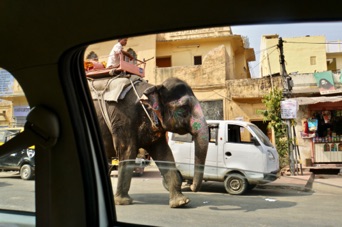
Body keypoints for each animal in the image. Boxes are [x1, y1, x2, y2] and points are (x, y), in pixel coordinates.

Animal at [89, 76, 208, 207]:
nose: (191, 187)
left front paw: (181, 202)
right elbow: (128, 151)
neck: (152, 87)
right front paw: (123, 202)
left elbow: (164, 154)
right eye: (184, 108)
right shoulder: (123, 119)